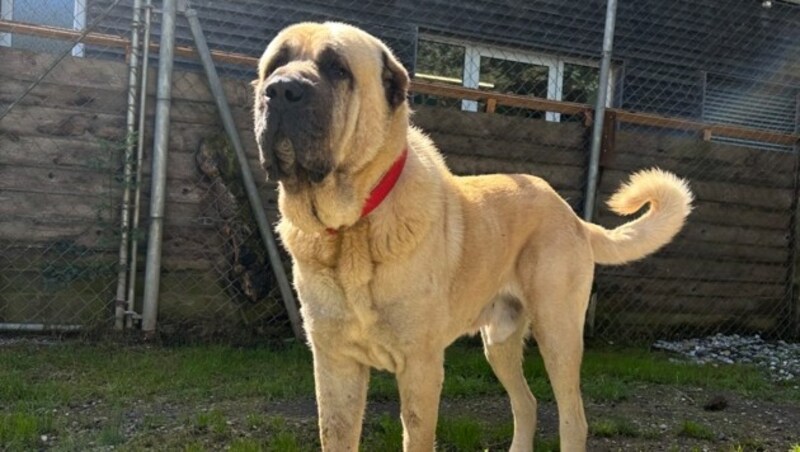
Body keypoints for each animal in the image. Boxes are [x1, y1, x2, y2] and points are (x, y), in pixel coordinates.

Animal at [253, 22, 692, 452]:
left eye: (337, 68)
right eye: (275, 64)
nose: (281, 90)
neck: (352, 228)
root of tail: (571, 215)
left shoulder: (420, 367)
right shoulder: (334, 366)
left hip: (558, 335)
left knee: (573, 418)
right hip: (498, 341)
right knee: (527, 403)